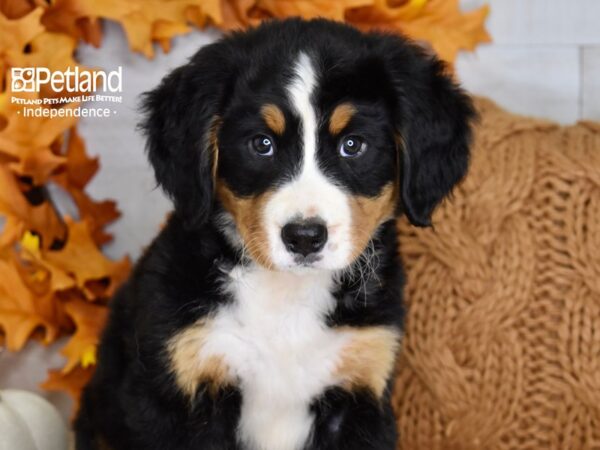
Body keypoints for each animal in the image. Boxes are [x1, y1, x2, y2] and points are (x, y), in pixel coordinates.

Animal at [75, 17, 476, 450]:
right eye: (261, 144)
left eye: (353, 145)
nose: (304, 237)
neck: (287, 299)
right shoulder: (177, 389)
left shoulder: (360, 385)